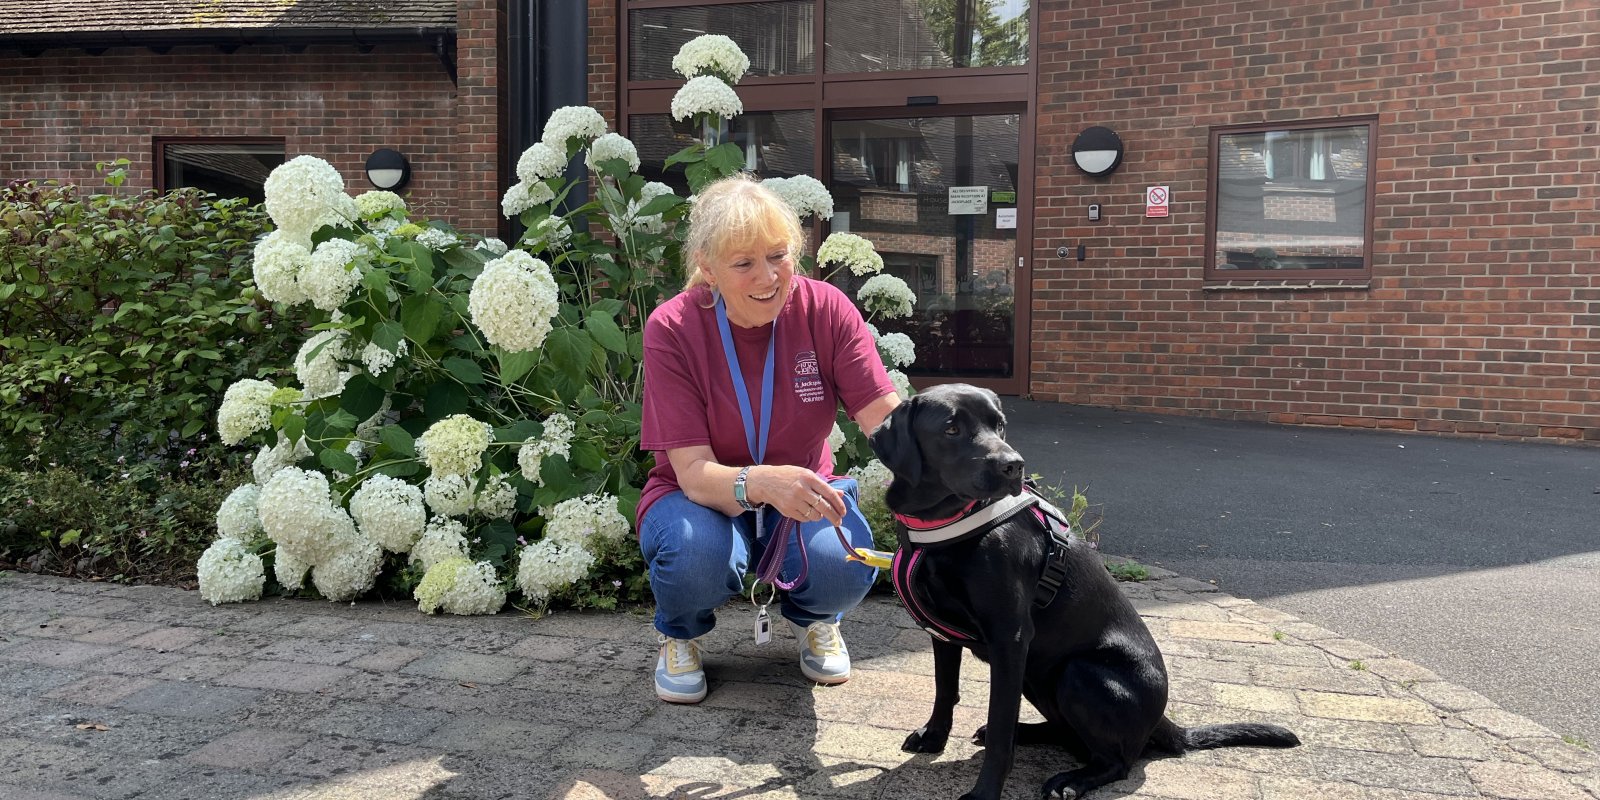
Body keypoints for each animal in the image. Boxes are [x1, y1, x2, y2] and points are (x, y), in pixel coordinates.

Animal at [864, 384, 1299, 796]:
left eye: (999, 425)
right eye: (951, 429)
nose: (1014, 465)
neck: (941, 525)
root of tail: (1163, 722)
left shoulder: (1010, 638)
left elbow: (999, 720)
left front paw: (983, 792)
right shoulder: (943, 634)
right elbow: (945, 690)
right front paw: (934, 737)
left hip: (1078, 674)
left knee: (1117, 761)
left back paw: (1071, 781)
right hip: (1039, 676)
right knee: (1066, 733)